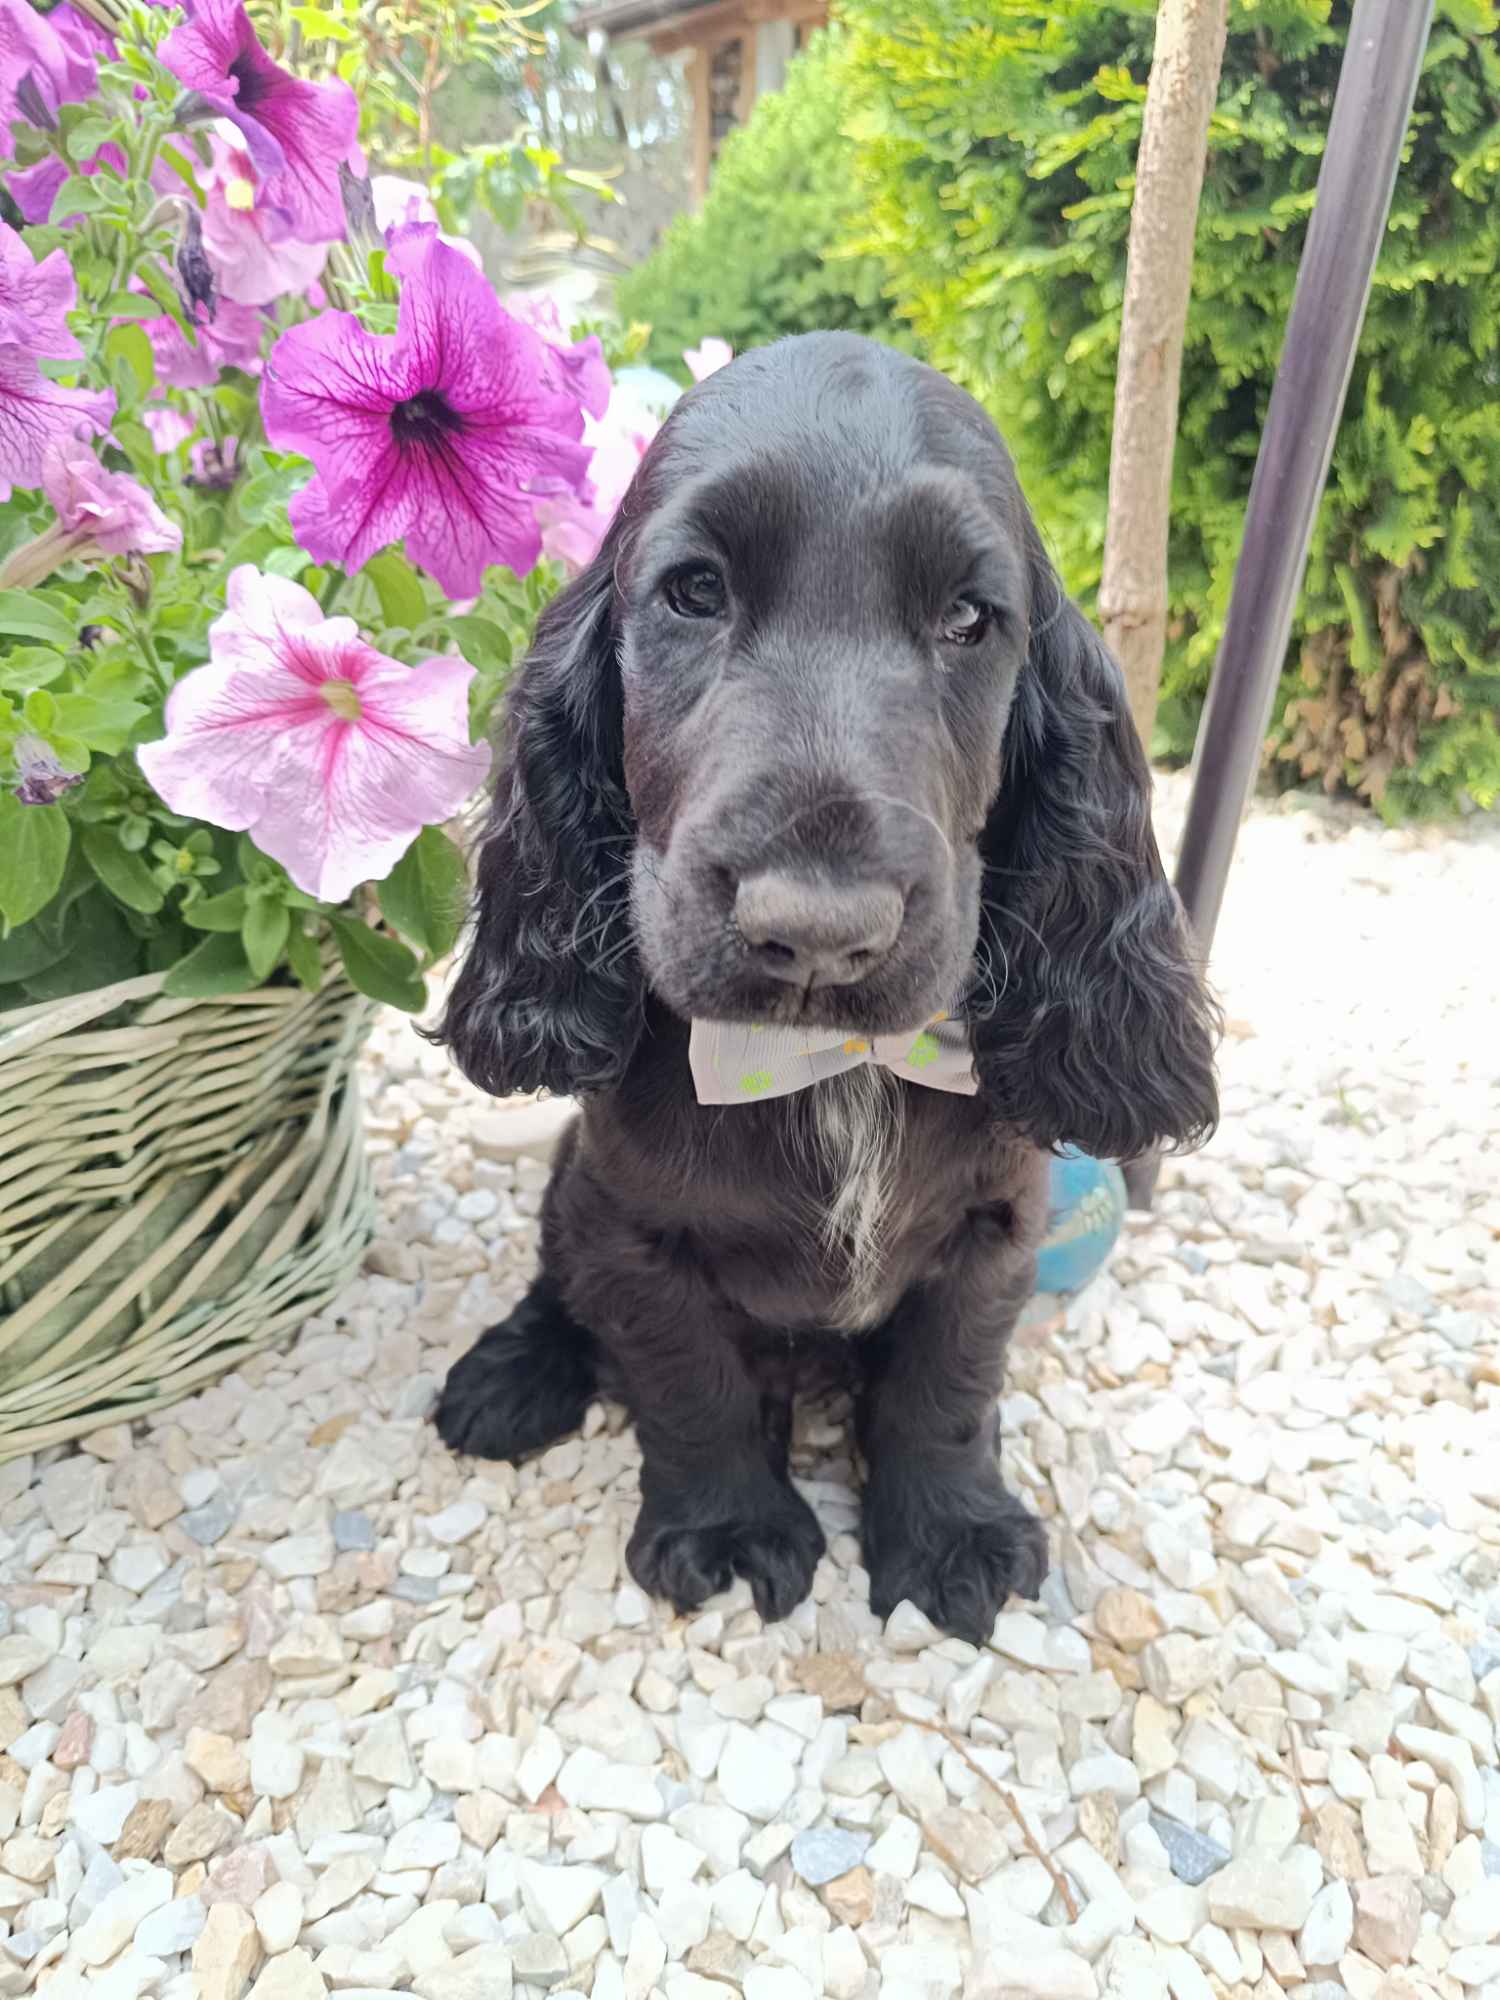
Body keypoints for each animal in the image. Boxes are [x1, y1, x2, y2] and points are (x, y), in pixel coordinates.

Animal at [432, 328, 1224, 1640]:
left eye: (968, 616)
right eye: (696, 592)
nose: (814, 932)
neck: (822, 1071)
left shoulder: (994, 1230)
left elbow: (945, 1388)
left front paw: (950, 1532)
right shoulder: (632, 1227)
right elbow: (685, 1376)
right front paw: (725, 1525)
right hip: (570, 1182)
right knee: (554, 1280)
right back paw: (509, 1375)